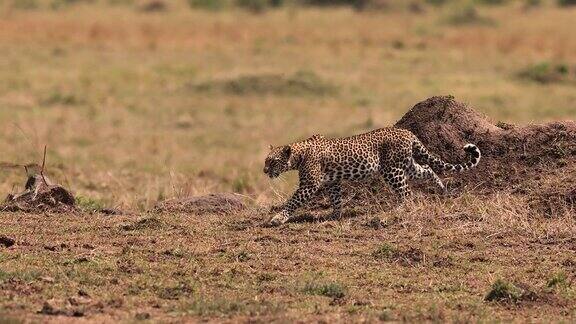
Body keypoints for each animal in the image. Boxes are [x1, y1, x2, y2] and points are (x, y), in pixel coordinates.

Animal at [264, 126, 480, 225]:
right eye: (266, 161)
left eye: (272, 161)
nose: (265, 171)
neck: (299, 154)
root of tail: (407, 132)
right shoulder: (333, 182)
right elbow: (336, 199)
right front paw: (335, 215)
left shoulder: (309, 185)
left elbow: (292, 202)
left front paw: (277, 218)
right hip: (407, 166)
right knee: (427, 169)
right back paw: (441, 188)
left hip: (392, 170)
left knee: (407, 192)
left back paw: (398, 210)